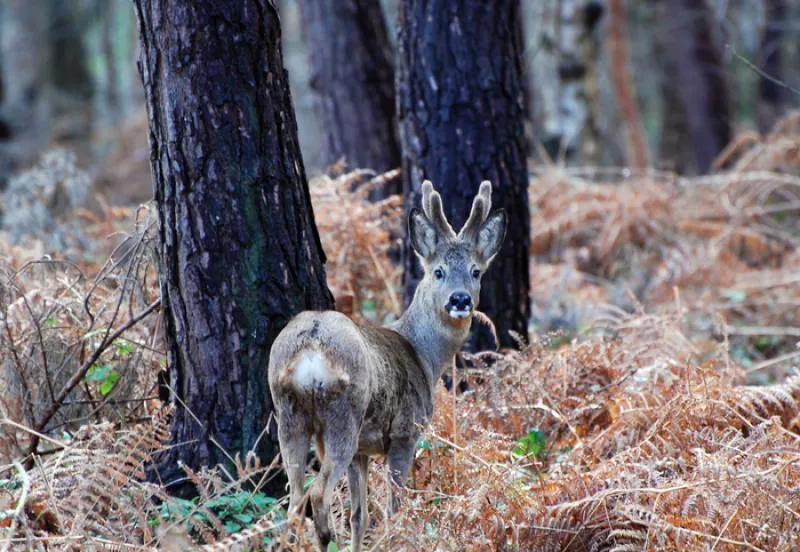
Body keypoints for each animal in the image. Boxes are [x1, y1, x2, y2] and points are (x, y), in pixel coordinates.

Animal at [268, 180, 506, 548]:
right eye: (437, 272)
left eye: (475, 271)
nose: (460, 299)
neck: (423, 355)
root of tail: (311, 343)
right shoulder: (404, 433)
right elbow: (395, 511)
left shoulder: (363, 451)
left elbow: (360, 516)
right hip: (343, 415)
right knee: (317, 495)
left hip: (289, 414)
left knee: (293, 503)